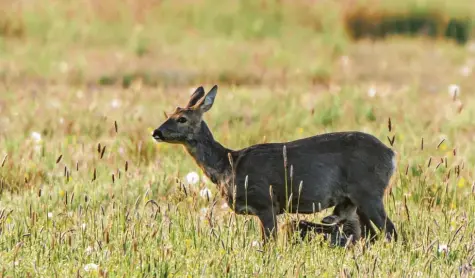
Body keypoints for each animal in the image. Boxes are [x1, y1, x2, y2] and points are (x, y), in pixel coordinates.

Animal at [152, 84, 398, 243]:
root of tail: (391, 155)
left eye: (182, 118)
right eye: (170, 113)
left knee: (391, 232)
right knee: (371, 235)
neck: (228, 167)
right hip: (356, 200)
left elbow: (269, 245)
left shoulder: (265, 202)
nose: (156, 132)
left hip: (368, 192)